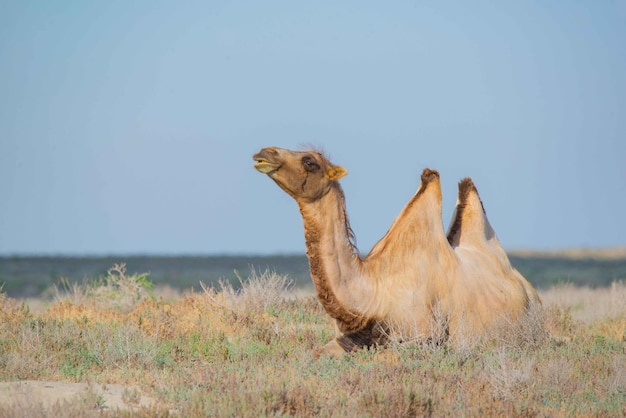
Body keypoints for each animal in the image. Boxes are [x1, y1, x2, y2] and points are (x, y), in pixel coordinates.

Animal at [251, 146, 540, 356]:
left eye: (310, 161)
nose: (265, 152)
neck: (375, 295)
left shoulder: (428, 336)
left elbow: (386, 354)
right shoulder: (348, 338)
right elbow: (316, 353)